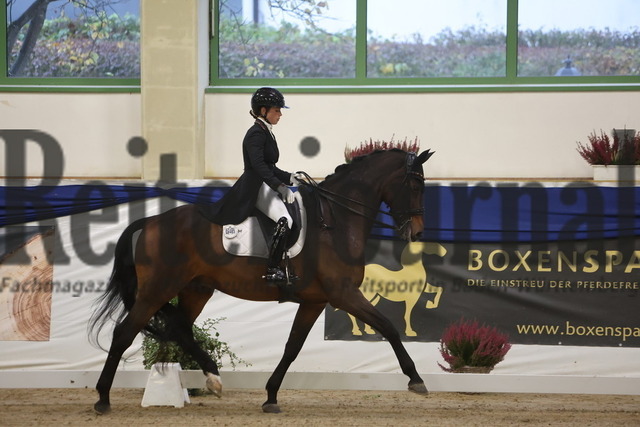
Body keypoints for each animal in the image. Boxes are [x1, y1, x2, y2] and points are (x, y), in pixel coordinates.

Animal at [89, 148, 434, 414]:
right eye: (416, 184)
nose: (418, 232)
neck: (336, 222)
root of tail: (149, 222)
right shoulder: (344, 294)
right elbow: (388, 327)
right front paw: (416, 379)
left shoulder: (315, 300)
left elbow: (292, 347)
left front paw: (270, 397)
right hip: (158, 289)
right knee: (124, 333)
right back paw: (103, 399)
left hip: (196, 288)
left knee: (181, 328)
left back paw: (214, 379)